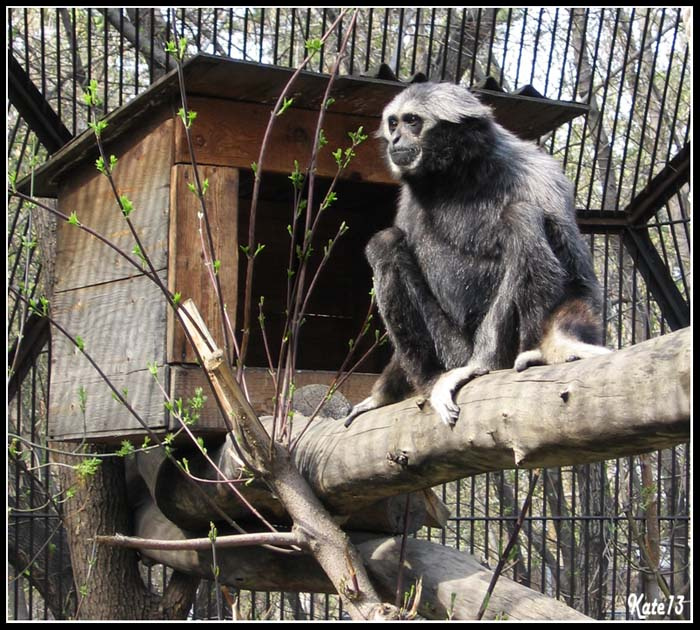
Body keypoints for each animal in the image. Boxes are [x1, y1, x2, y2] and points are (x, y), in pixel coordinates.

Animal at [343, 81, 610, 428]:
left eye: (412, 121)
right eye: (393, 123)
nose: (397, 139)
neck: (458, 178)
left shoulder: (539, 174)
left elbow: (580, 281)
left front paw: (561, 344)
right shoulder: (407, 199)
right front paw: (381, 396)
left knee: (521, 214)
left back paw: (483, 365)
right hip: (450, 347)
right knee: (385, 243)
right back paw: (430, 381)